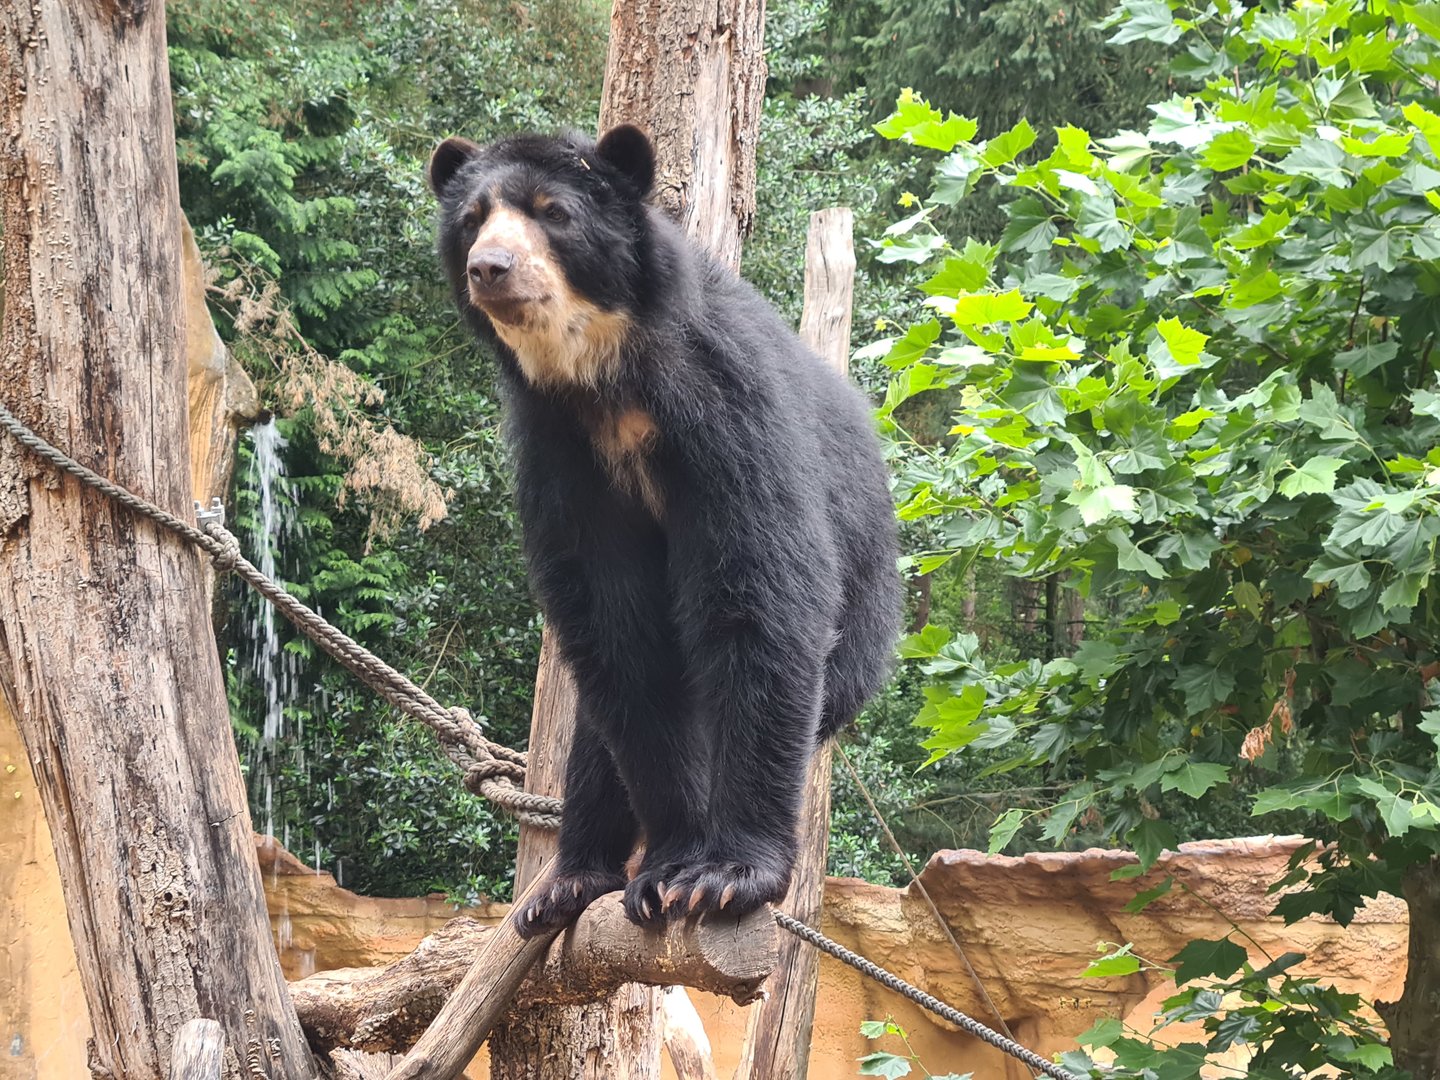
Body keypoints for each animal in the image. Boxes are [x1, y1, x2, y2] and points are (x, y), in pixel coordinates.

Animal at [427, 125, 901, 935]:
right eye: (471, 222)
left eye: (554, 214)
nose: (491, 268)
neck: (604, 379)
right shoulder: (562, 457)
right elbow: (617, 633)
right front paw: (668, 865)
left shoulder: (727, 411)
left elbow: (758, 601)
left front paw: (722, 876)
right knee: (596, 733)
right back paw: (565, 882)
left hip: (861, 630)